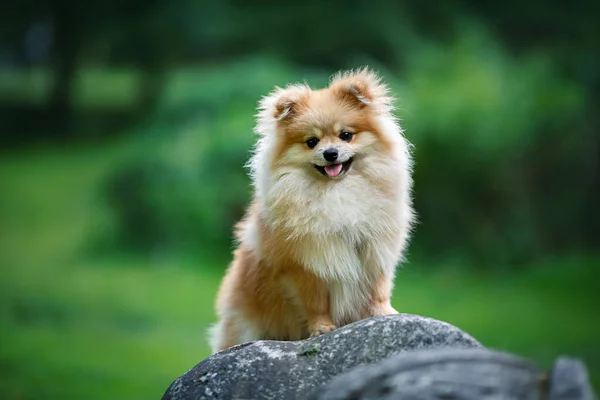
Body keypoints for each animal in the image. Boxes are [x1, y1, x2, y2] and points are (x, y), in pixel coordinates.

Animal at [210, 69, 412, 354]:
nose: (330, 153)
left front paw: (384, 313)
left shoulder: (374, 249)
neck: (337, 192)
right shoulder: (306, 264)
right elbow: (315, 303)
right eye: (312, 142)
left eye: (346, 135)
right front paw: (321, 328)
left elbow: (378, 289)